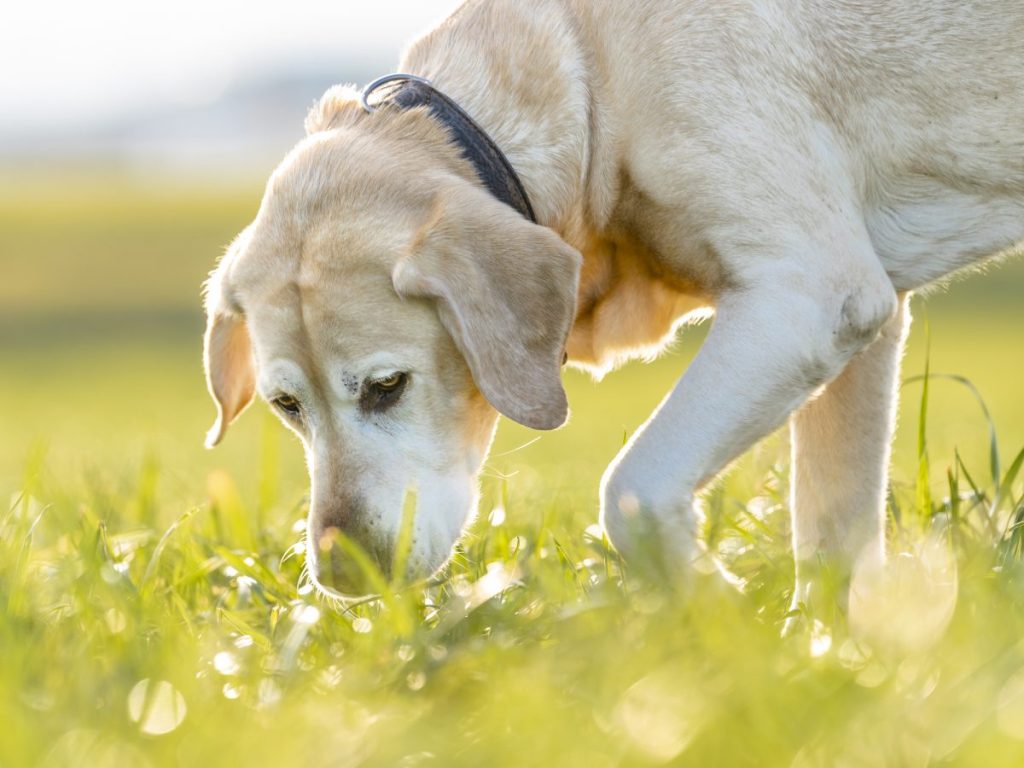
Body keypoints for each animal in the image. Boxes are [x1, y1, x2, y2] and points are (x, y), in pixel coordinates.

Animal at [203, 1, 1024, 606]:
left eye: (387, 386)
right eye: (286, 407)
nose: (343, 576)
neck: (592, 73)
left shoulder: (812, 294)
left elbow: (634, 488)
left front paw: (724, 615)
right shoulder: (863, 328)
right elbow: (832, 531)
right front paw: (826, 656)